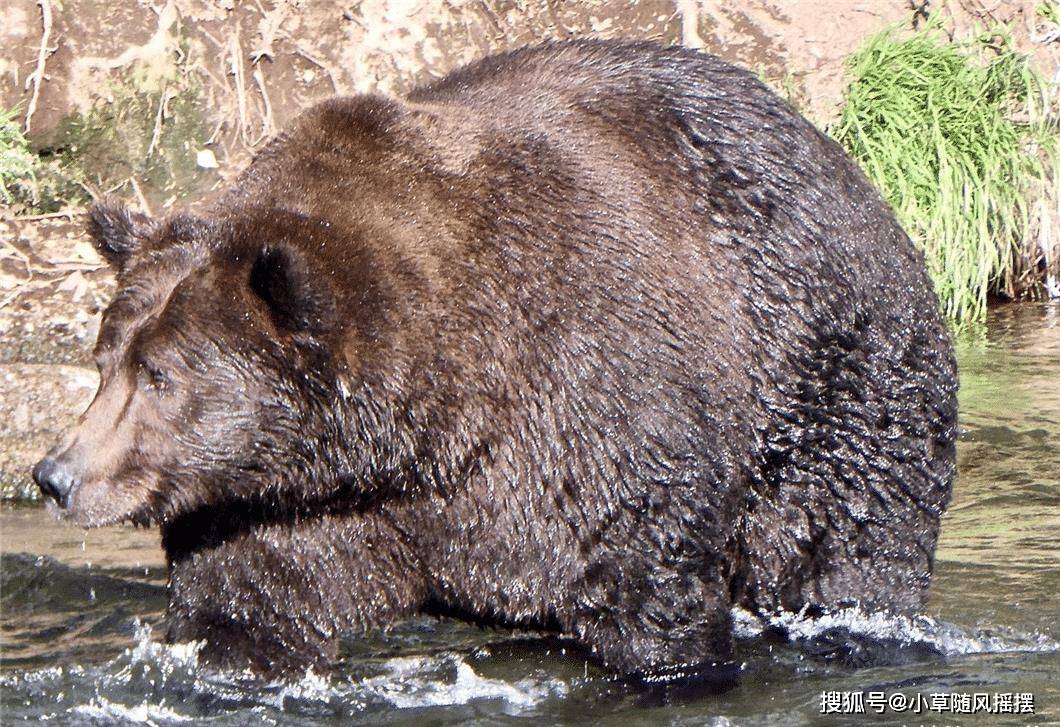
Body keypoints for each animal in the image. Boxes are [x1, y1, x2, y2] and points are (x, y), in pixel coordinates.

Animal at [35, 39, 962, 686]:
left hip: (832, 370)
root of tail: (848, 165)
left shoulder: (589, 403)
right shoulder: (293, 502)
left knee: (845, 537)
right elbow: (251, 597)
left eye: (163, 374)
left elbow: (647, 589)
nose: (57, 474)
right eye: (106, 359)